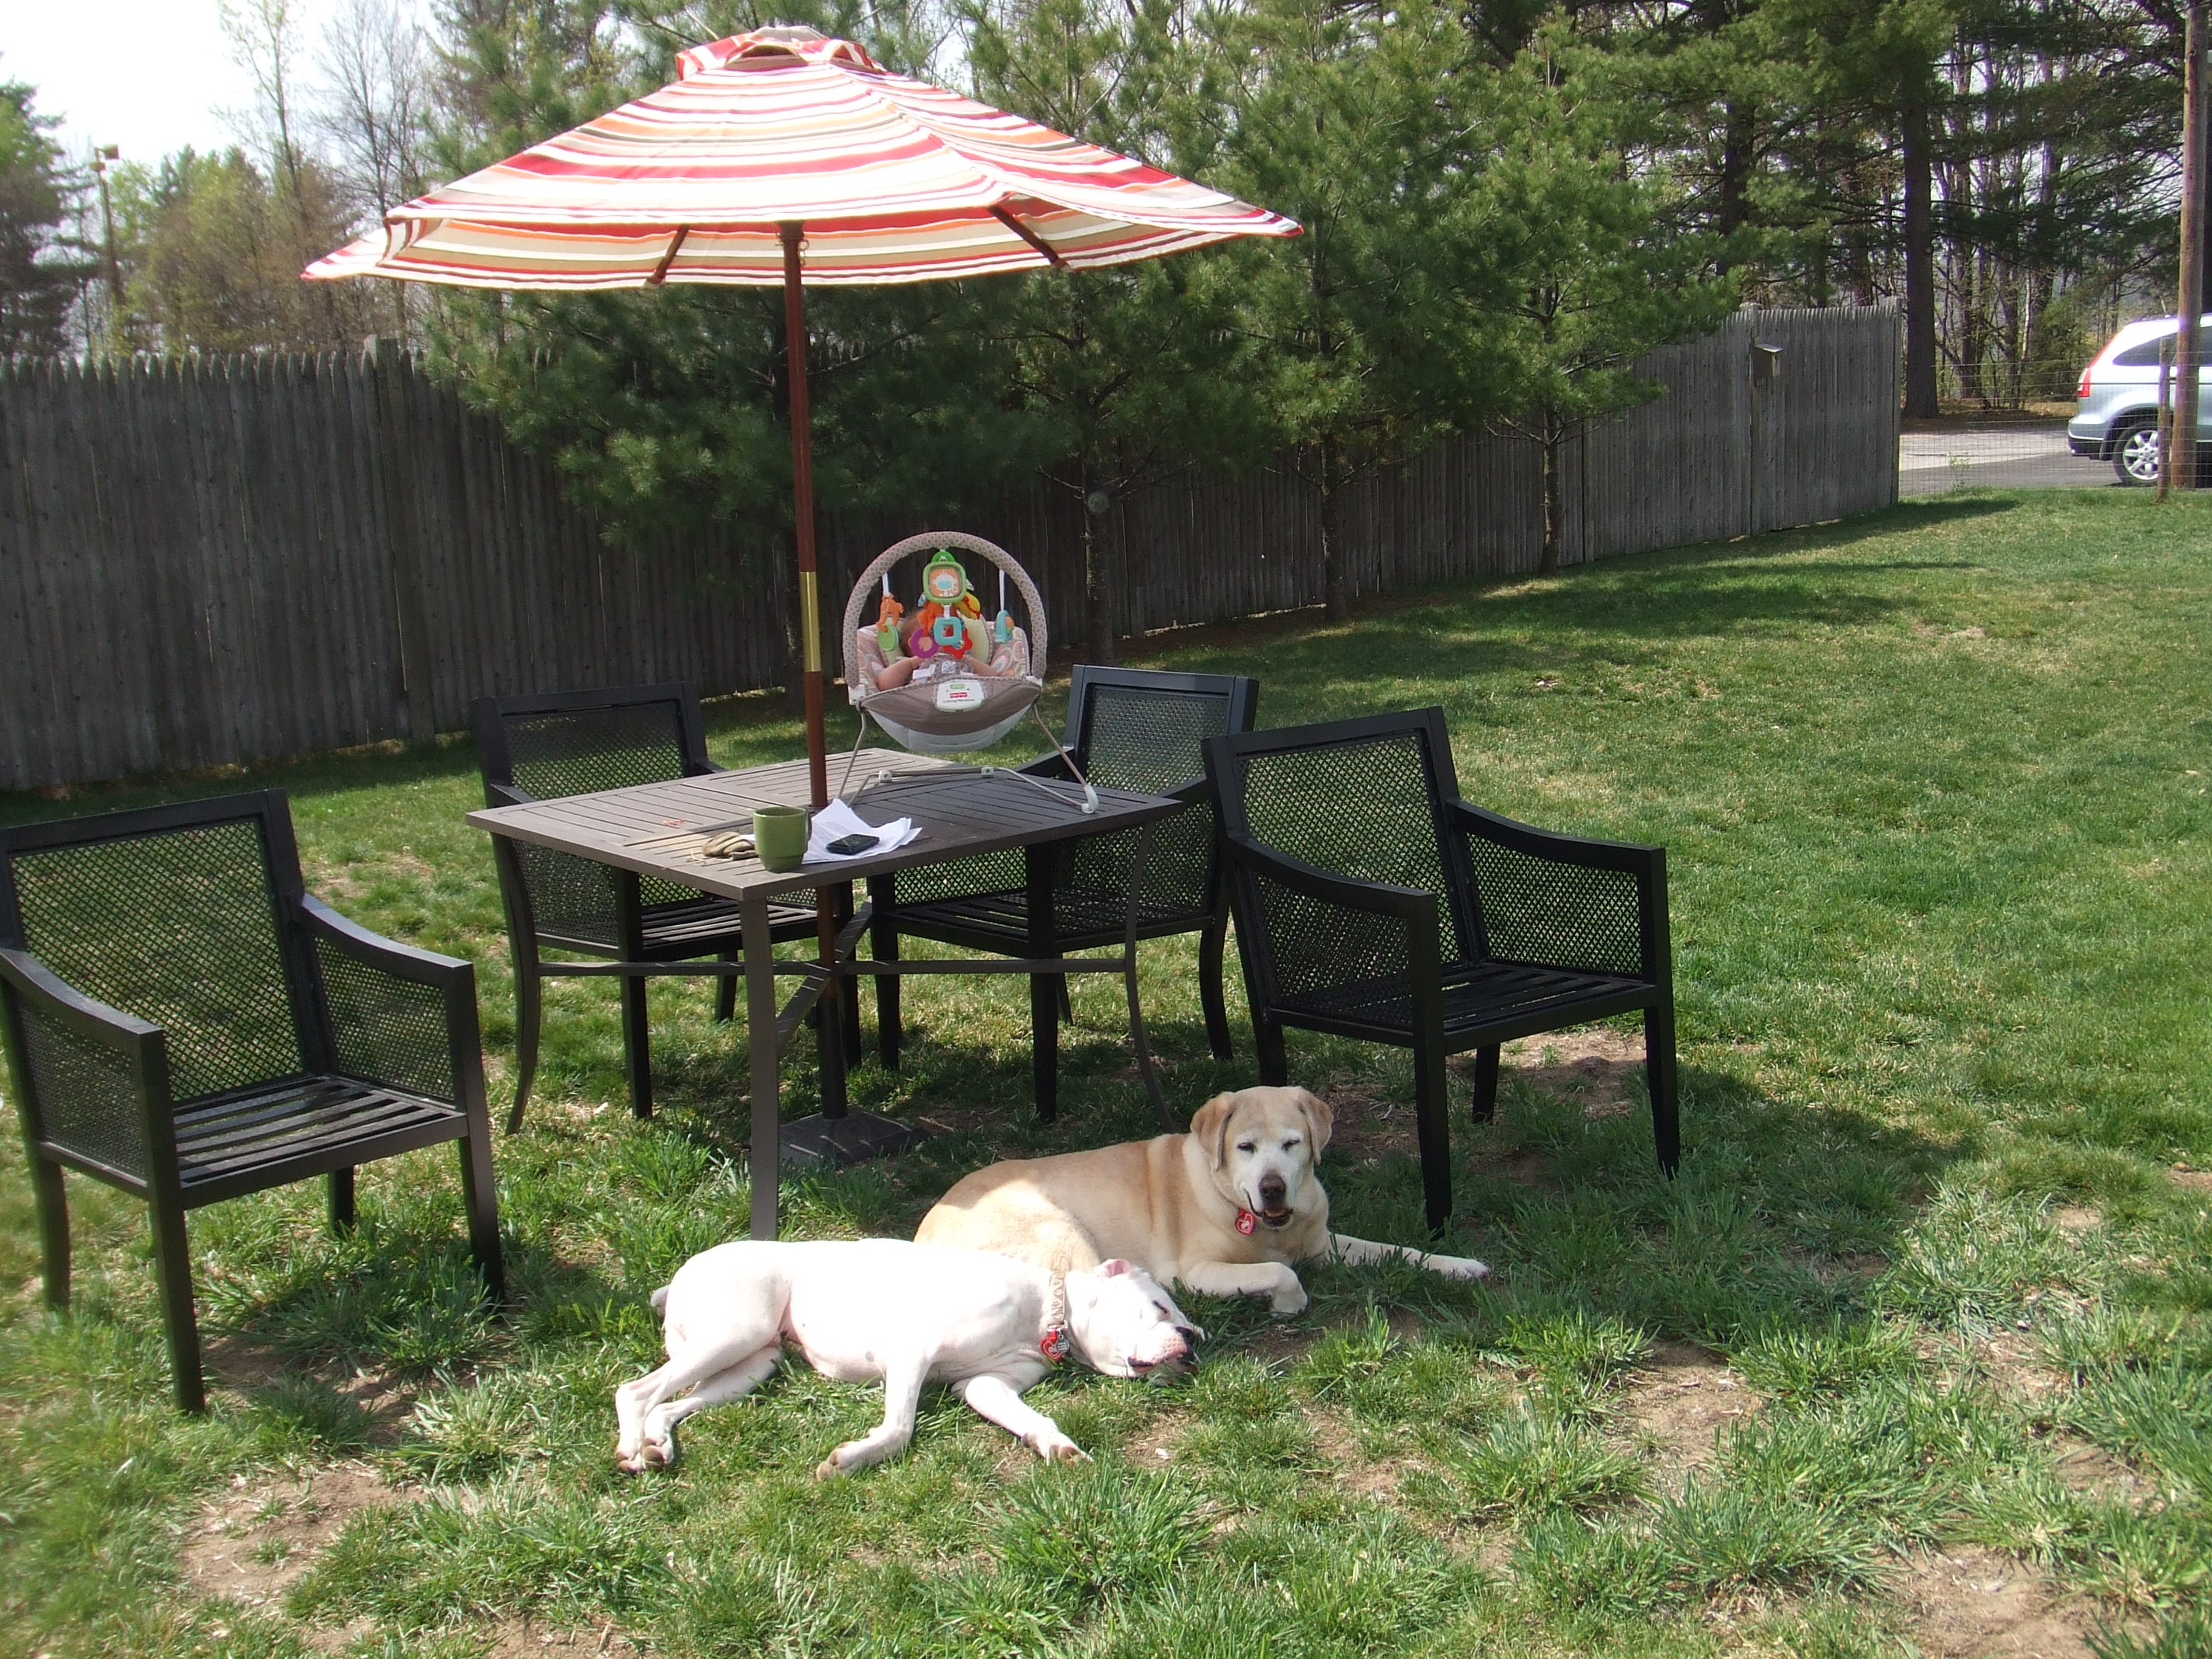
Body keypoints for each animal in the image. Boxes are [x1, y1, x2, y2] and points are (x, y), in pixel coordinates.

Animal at [613, 1239, 1199, 1477]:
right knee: (635, 1391)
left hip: (752, 1363)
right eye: (1160, 1306)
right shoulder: (912, 1352)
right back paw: (631, 1451)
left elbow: (1034, 1419)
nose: (1193, 1341)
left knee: (666, 1405)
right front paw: (850, 1460)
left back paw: (658, 1447)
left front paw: (1059, 1448)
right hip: (735, 1333)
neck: (1045, 1310)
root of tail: (677, 1277)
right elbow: (899, 1429)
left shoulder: (987, 1386)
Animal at [915, 1086, 1490, 1317]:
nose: (1273, 1187)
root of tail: (922, 1234)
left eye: (1292, 1143)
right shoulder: (1197, 1270)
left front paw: (1460, 1265)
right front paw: (1287, 1302)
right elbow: (1282, 1273)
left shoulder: (1323, 1242)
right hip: (1062, 1231)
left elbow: (1402, 1251)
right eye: (1245, 1148)